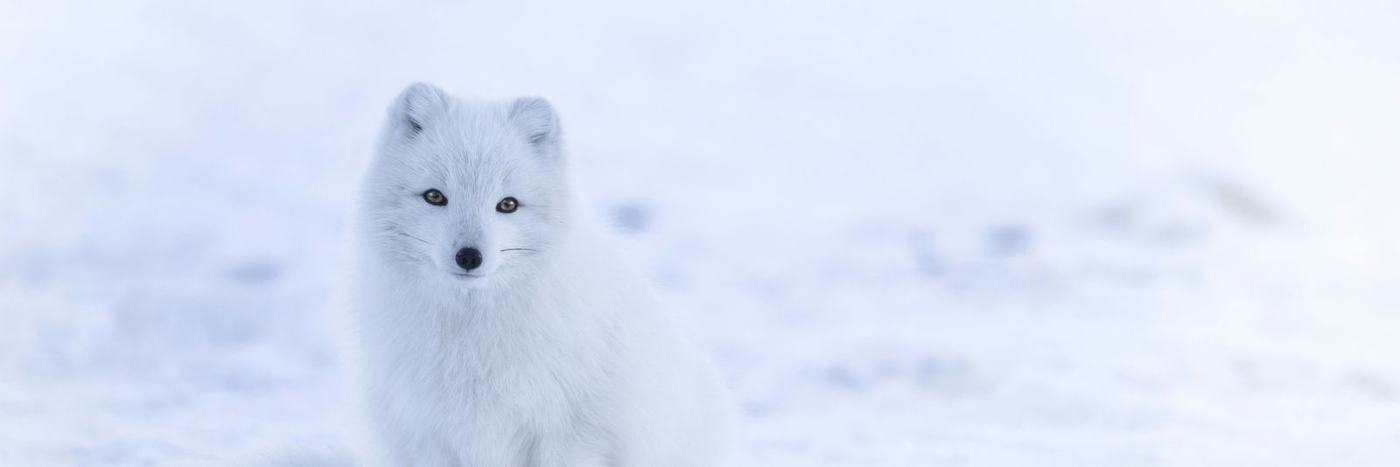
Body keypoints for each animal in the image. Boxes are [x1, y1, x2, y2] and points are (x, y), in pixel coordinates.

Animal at [342, 83, 735, 466]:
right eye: (435, 196)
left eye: (507, 204)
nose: (469, 256)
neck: (472, 333)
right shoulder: (427, 434)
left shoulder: (572, 433)